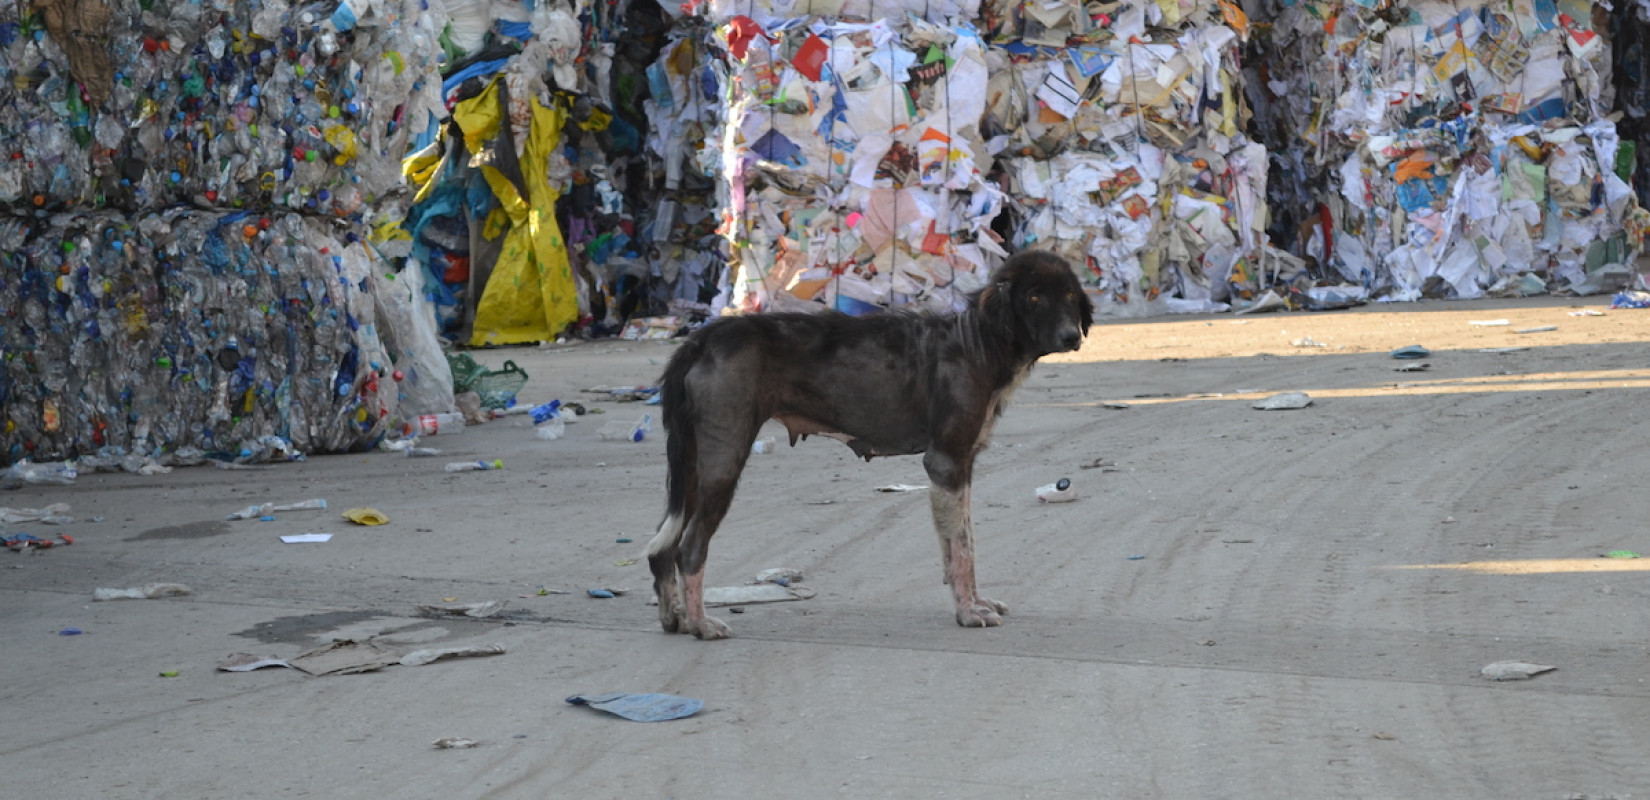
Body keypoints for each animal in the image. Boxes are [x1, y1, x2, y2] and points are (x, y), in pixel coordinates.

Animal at [646, 249, 1095, 636]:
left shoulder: (962, 466)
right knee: (689, 548)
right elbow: (961, 548)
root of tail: (703, 337)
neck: (979, 341)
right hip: (725, 460)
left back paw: (676, 619)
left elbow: (964, 541)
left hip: (691, 467)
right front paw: (968, 612)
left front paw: (976, 602)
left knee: (660, 549)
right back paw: (701, 624)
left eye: (1070, 295)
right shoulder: (945, 462)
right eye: (1034, 297)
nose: (1071, 336)